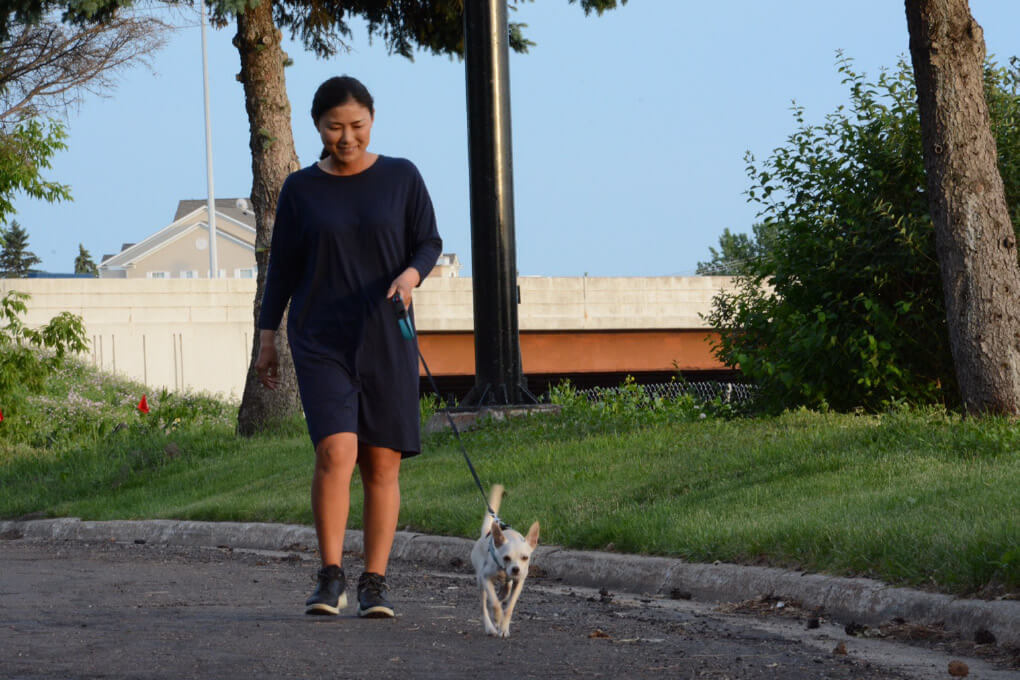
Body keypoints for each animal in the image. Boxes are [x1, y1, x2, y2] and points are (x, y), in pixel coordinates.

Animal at [471, 483, 542, 640]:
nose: (515, 569)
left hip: (508, 585)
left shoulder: (519, 582)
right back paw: (490, 627)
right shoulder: (486, 578)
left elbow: (509, 607)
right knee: (484, 606)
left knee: (503, 594)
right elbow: (494, 604)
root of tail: (485, 533)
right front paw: (498, 618)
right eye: (506, 558)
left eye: (525, 558)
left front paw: (504, 628)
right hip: (480, 582)